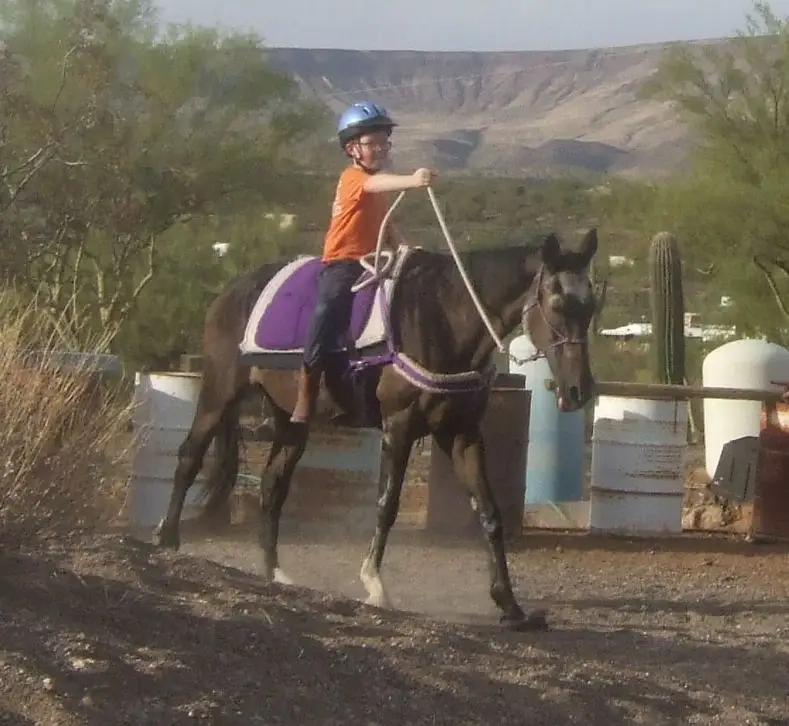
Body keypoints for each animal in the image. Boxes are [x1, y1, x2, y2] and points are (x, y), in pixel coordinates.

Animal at [152, 227, 599, 630]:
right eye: (557, 303)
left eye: (591, 305)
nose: (579, 391)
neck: (444, 316)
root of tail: (230, 292)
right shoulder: (398, 427)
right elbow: (387, 506)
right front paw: (375, 585)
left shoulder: (463, 433)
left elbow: (489, 512)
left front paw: (509, 605)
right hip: (219, 392)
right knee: (190, 455)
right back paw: (167, 538)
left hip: (290, 419)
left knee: (272, 484)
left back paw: (274, 572)